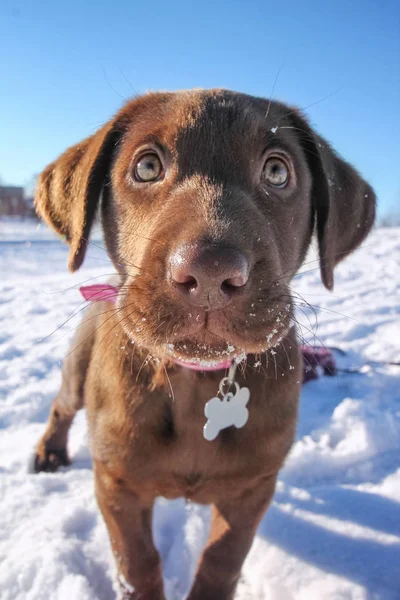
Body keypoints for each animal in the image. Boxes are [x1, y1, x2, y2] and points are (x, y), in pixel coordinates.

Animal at [33, 90, 376, 600]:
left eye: (277, 171)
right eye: (147, 166)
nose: (211, 273)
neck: (198, 382)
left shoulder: (252, 487)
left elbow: (221, 559)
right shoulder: (117, 482)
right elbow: (138, 564)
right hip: (78, 370)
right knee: (62, 407)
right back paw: (50, 452)